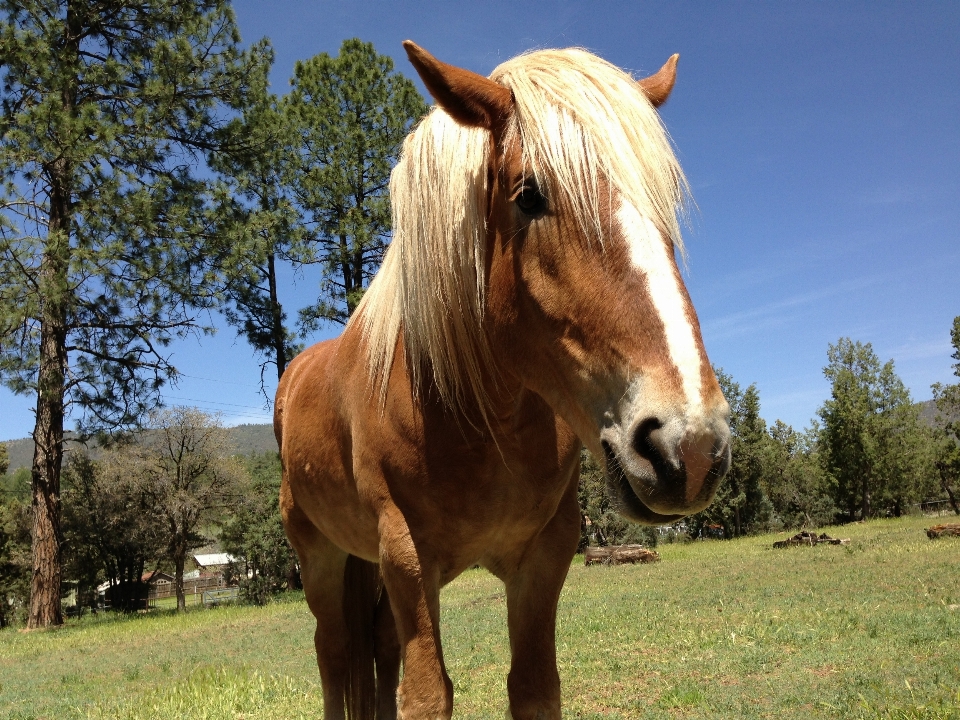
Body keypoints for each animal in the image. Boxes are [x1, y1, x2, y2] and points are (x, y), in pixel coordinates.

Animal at [274, 40, 732, 720]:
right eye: (529, 195)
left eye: (664, 203)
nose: (691, 445)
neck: (478, 418)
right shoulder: (406, 556)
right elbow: (427, 695)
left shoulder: (544, 554)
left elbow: (534, 686)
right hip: (320, 558)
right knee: (332, 654)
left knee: (375, 646)